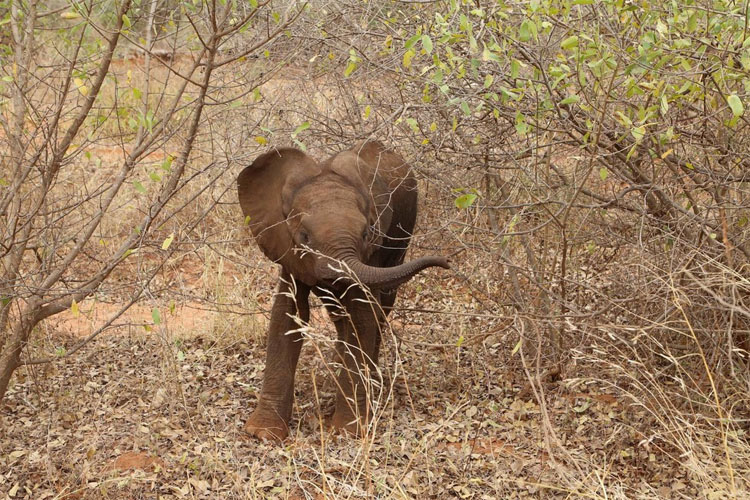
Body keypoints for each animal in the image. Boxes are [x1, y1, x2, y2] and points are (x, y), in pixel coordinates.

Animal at [238, 139, 450, 440]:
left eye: (366, 233)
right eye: (304, 236)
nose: (447, 261)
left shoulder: (370, 254)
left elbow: (362, 316)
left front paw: (349, 431)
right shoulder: (286, 248)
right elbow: (287, 316)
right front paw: (262, 433)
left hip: (403, 232)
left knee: (382, 302)